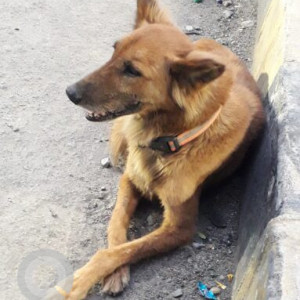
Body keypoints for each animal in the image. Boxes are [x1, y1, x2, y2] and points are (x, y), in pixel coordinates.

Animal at [63, 1, 264, 298]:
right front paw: (115, 274)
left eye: (132, 71)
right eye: (114, 50)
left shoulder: (180, 226)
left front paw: (78, 282)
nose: (70, 92)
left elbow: (122, 250)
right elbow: (116, 227)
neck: (168, 141)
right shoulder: (129, 180)